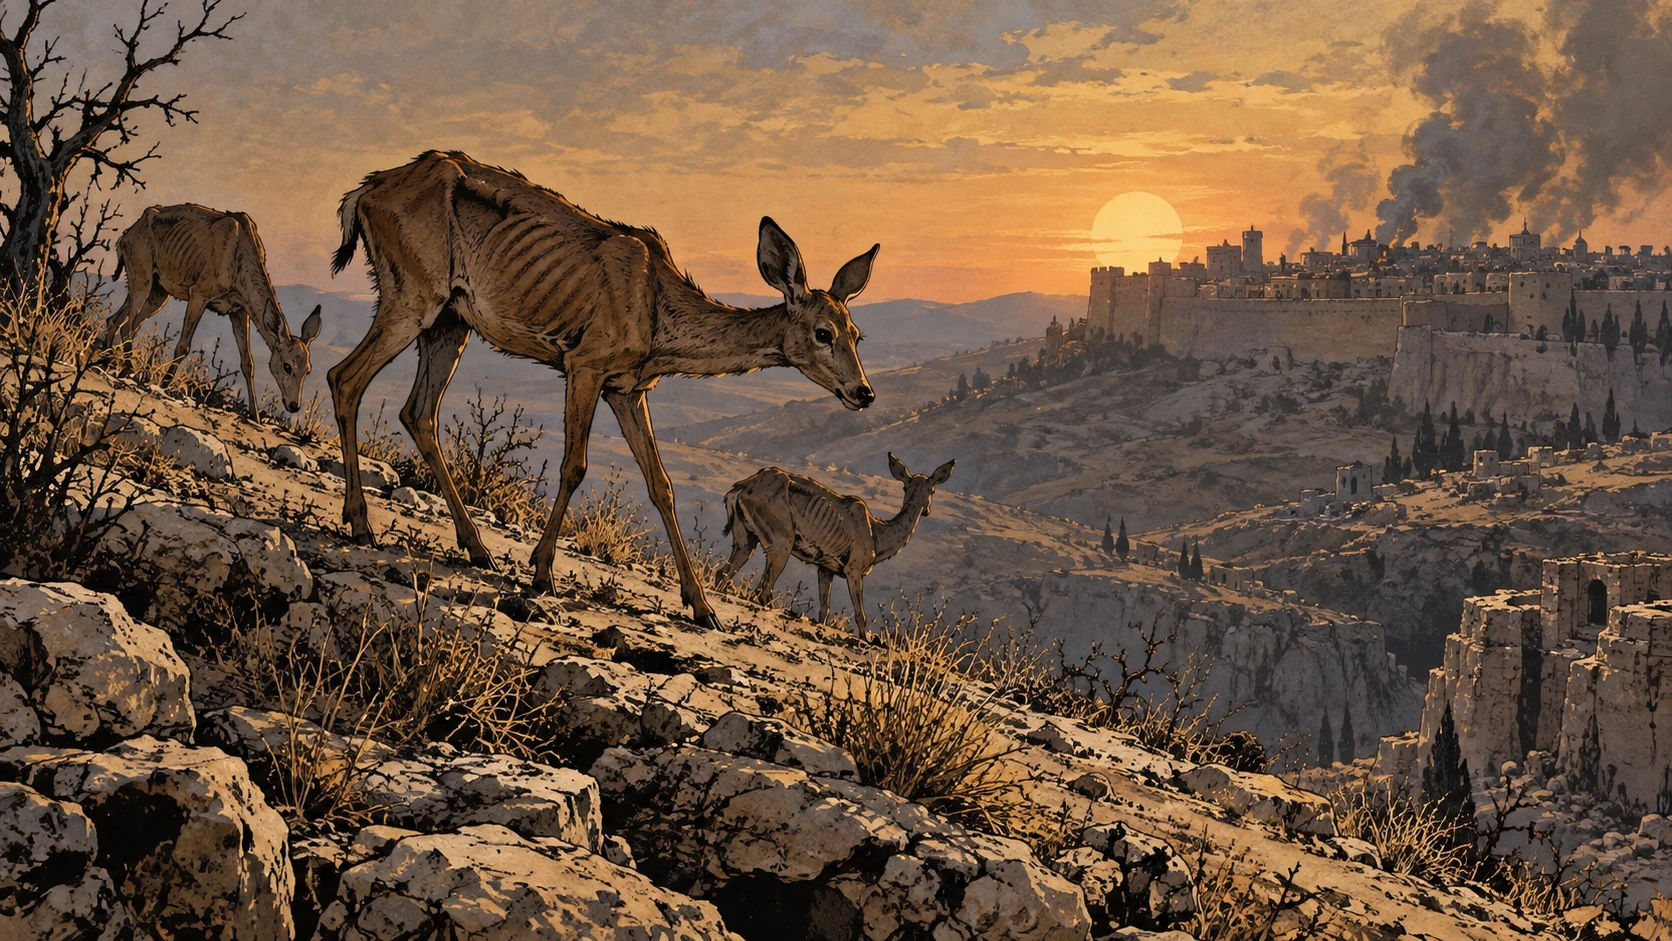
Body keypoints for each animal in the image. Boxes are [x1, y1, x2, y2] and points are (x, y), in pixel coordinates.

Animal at [101, 204, 323, 415]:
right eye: (287, 366)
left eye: (308, 370)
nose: (294, 405)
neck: (238, 262)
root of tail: (124, 237)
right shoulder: (199, 293)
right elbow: (183, 346)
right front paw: (163, 385)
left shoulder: (239, 310)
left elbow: (247, 362)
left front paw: (255, 416)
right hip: (143, 276)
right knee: (128, 325)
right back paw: (126, 368)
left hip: (158, 291)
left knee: (118, 320)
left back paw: (106, 359)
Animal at [326, 151, 880, 629]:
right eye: (823, 332)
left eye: (856, 333)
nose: (864, 393)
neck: (658, 314)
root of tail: (361, 194)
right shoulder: (584, 363)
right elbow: (575, 465)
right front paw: (542, 572)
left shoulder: (627, 389)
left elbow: (662, 484)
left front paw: (702, 608)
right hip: (413, 293)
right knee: (345, 378)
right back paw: (361, 523)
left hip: (449, 321)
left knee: (417, 412)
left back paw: (477, 549)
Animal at [719, 452, 954, 632]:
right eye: (907, 487)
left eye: (931, 489)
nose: (926, 510)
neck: (877, 537)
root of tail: (739, 488)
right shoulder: (853, 569)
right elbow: (861, 615)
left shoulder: (825, 567)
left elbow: (824, 610)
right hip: (781, 540)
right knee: (763, 589)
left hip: (746, 537)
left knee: (724, 573)